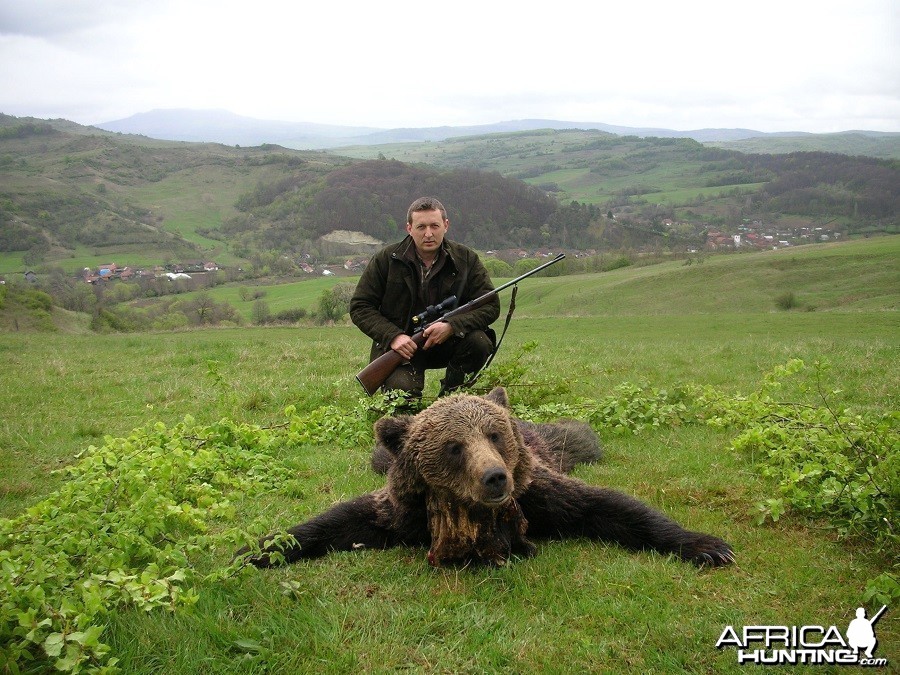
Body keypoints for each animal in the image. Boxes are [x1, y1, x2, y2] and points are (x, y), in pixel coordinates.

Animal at [237, 388, 732, 568]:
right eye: (454, 446)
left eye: (494, 435)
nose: (495, 478)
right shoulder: (402, 510)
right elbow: (343, 520)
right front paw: (257, 549)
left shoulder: (538, 494)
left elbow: (606, 505)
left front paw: (705, 544)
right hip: (381, 454)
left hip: (551, 441)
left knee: (580, 437)